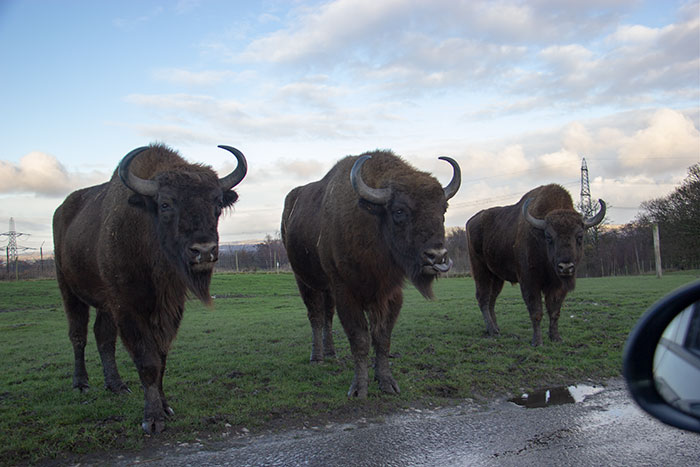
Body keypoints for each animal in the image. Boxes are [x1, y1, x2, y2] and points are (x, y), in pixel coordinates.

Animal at [53, 143, 247, 433]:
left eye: (216, 203)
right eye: (165, 203)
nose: (204, 251)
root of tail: (62, 209)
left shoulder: (169, 308)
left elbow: (161, 357)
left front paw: (165, 408)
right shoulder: (128, 307)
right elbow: (147, 360)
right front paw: (152, 419)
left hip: (104, 304)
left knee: (103, 337)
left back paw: (117, 386)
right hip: (69, 289)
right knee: (78, 335)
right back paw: (81, 384)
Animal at [282, 150, 461, 397]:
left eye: (443, 209)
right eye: (399, 211)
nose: (437, 256)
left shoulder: (390, 294)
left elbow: (382, 338)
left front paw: (386, 382)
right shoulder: (345, 291)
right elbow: (360, 339)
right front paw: (359, 389)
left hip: (327, 289)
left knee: (327, 316)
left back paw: (331, 353)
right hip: (305, 281)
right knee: (316, 316)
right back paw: (317, 358)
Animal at [466, 184, 605, 346]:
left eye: (580, 236)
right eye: (549, 236)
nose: (565, 267)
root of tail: (471, 222)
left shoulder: (558, 286)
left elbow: (554, 311)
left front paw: (556, 338)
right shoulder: (530, 281)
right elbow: (536, 311)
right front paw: (537, 342)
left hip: (497, 276)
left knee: (492, 299)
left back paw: (496, 328)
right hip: (481, 271)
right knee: (483, 298)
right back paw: (492, 331)